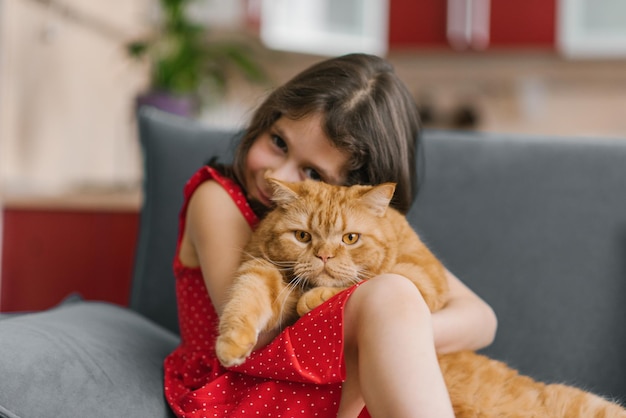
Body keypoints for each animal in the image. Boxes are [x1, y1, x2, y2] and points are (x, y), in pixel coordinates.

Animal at [216, 178, 624, 416]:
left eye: (350, 238)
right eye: (302, 236)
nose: (325, 257)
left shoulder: (422, 277)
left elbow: (370, 281)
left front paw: (316, 299)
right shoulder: (261, 268)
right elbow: (246, 297)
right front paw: (231, 344)